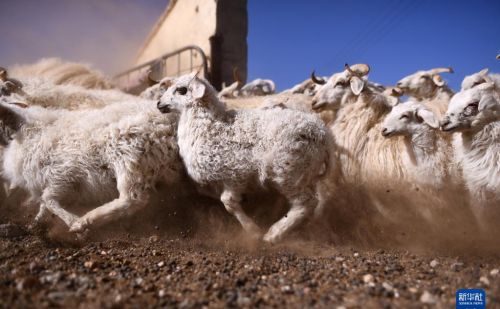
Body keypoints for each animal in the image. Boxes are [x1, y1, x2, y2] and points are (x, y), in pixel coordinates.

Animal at [0, 96, 184, 233]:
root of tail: (172, 122)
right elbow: (45, 203)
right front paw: (37, 221)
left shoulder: (62, 173)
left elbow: (49, 199)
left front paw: (71, 221)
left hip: (126, 153)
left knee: (132, 200)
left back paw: (85, 221)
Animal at [158, 73, 334, 243]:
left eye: (181, 90)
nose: (159, 104)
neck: (210, 125)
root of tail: (321, 133)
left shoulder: (235, 174)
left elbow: (228, 202)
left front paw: (253, 231)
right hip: (303, 173)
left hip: (288, 172)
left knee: (306, 202)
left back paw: (274, 234)